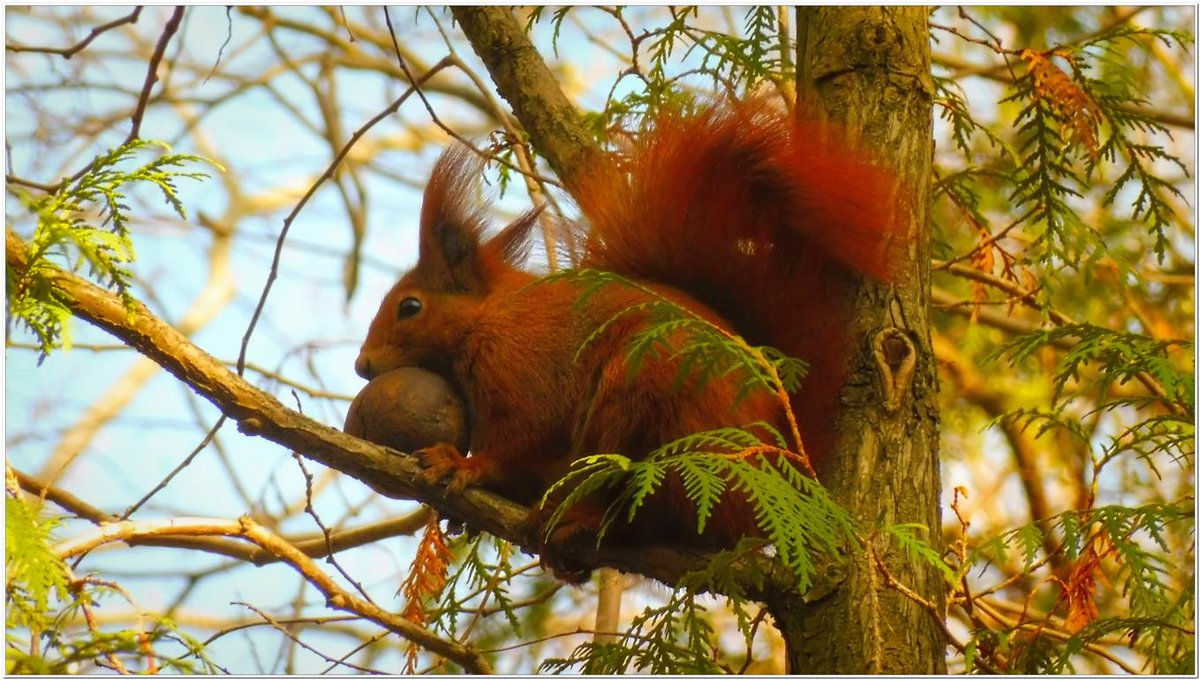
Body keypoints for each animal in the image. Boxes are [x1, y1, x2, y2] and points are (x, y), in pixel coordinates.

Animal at [355, 98, 902, 573]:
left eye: (409, 307)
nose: (362, 366)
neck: (491, 317)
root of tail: (778, 464)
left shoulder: (524, 371)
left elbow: (520, 438)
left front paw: (464, 465)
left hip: (647, 398)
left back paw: (583, 520)